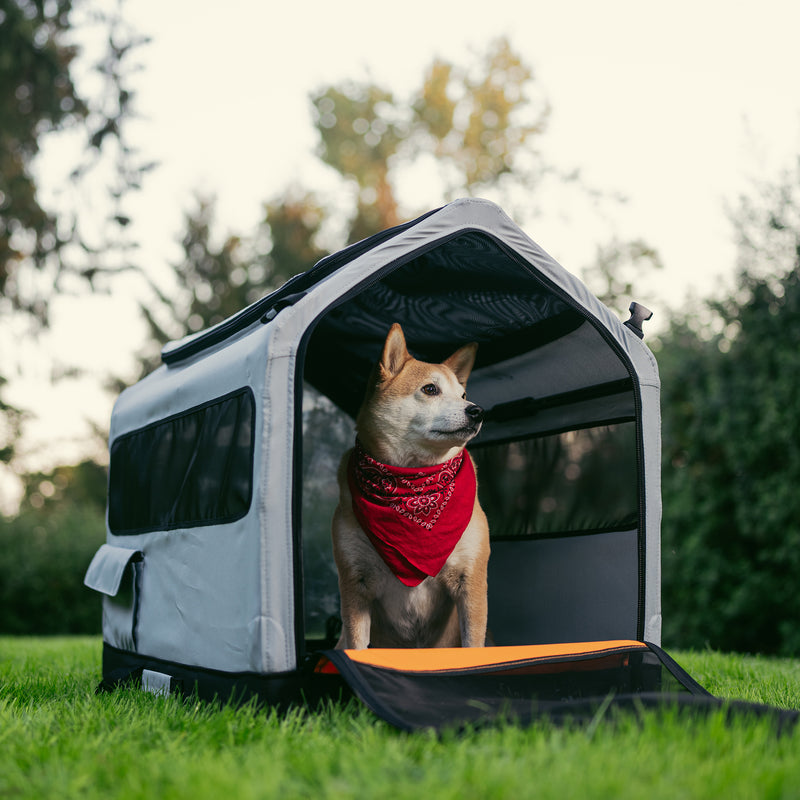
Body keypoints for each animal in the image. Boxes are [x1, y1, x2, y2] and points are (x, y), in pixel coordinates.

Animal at [330, 322, 488, 648]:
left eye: (463, 394)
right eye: (430, 389)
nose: (477, 410)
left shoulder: (471, 581)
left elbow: (473, 645)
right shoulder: (355, 584)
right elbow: (357, 646)